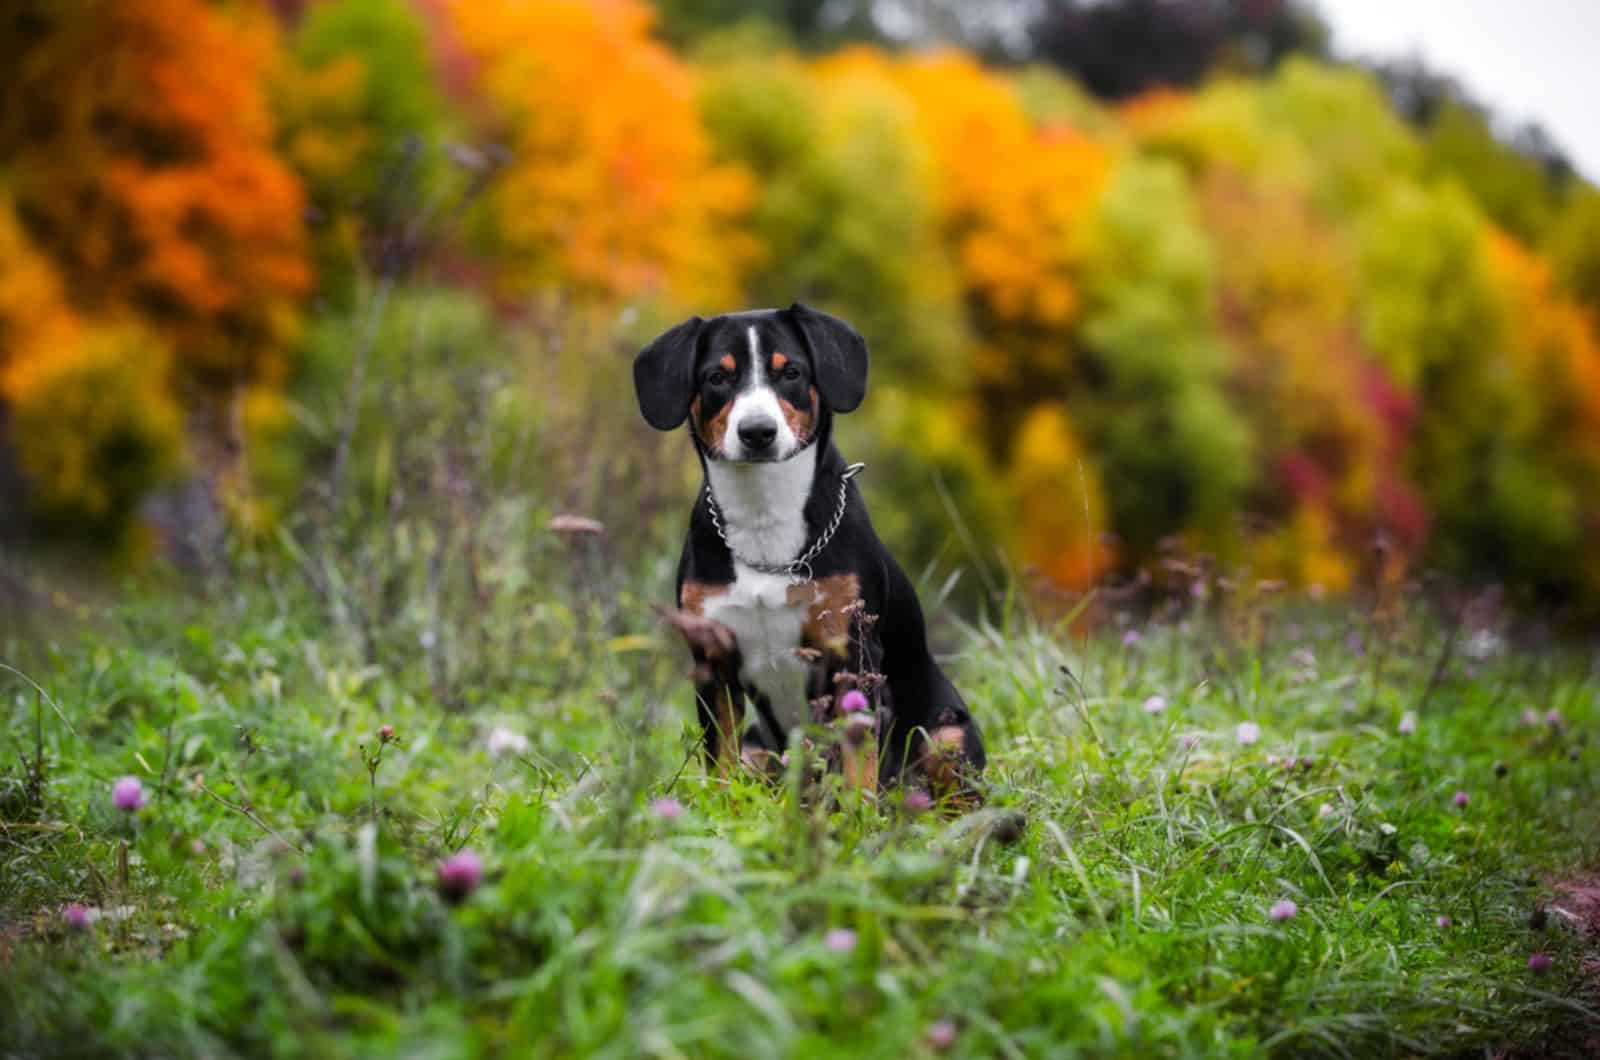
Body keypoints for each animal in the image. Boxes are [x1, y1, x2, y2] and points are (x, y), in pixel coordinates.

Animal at [630, 302, 979, 794]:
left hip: (947, 733)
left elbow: (857, 766)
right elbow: (721, 767)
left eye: (790, 372)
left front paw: (857, 812)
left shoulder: (852, 653)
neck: (764, 515)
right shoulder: (712, 661)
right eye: (717, 377)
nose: (757, 431)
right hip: (759, 746)